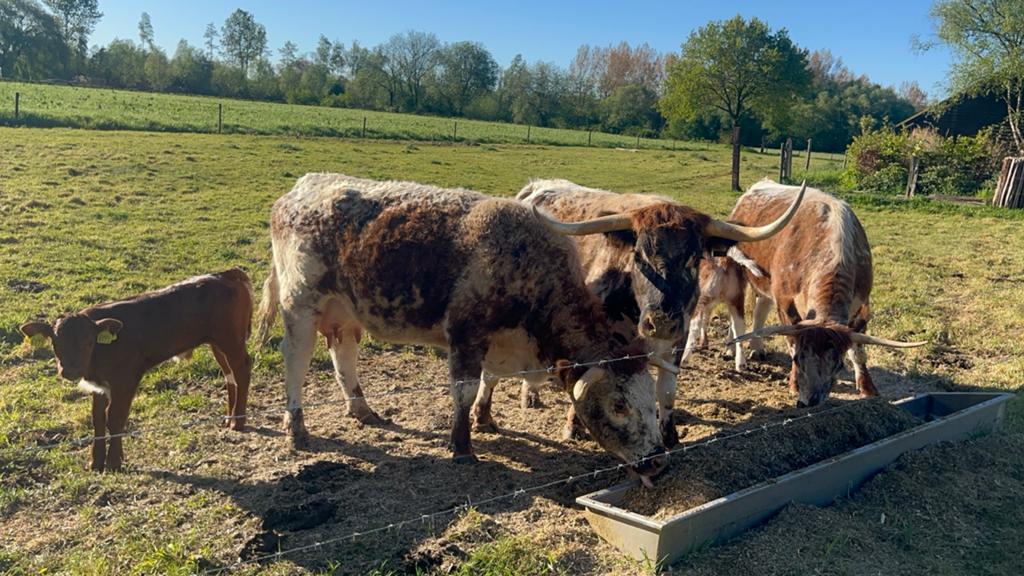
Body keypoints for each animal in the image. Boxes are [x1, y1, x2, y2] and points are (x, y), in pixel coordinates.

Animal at [19, 268, 253, 472]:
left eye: (88, 342)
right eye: (55, 343)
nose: (70, 371)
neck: (99, 355)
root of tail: (225, 274)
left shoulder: (126, 380)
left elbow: (115, 417)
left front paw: (114, 463)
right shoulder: (100, 387)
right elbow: (97, 419)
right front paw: (96, 462)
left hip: (231, 340)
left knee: (242, 370)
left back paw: (238, 421)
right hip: (217, 344)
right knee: (230, 375)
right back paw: (229, 417)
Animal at [255, 174, 675, 480]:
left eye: (649, 403)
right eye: (619, 405)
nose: (657, 460)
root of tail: (301, 188)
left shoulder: (497, 343)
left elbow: (489, 382)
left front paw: (485, 420)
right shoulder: (466, 336)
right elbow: (465, 389)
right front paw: (462, 446)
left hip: (343, 313)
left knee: (343, 355)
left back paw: (361, 409)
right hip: (300, 306)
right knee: (296, 362)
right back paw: (296, 427)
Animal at [504, 179, 805, 445]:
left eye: (693, 259)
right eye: (638, 256)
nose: (660, 322)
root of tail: (540, 187)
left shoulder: (677, 339)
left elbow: (667, 389)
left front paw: (669, 434)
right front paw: (573, 426)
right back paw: (530, 395)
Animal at [727, 179, 926, 407]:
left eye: (839, 365)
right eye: (798, 360)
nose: (808, 401)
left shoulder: (862, 306)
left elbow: (858, 352)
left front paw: (868, 388)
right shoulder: (785, 304)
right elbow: (791, 342)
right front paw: (794, 383)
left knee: (761, 308)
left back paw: (757, 348)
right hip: (737, 273)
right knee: (735, 314)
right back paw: (732, 350)